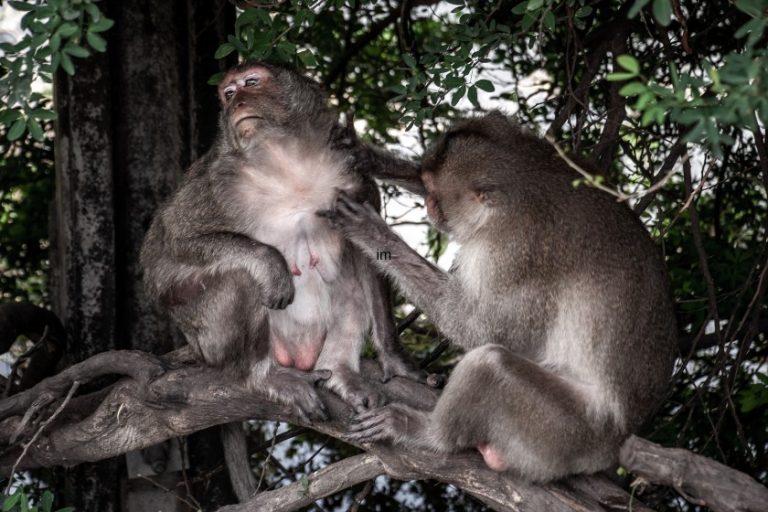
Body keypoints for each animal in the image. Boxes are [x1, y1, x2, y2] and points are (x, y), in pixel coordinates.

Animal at [140, 61, 417, 426]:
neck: (285, 158)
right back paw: (263, 376)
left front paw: (397, 361)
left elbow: (369, 249)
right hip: (208, 341)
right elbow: (171, 243)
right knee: (241, 278)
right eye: (229, 93)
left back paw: (339, 372)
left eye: (251, 82)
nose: (236, 103)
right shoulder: (216, 180)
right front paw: (271, 263)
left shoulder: (350, 168)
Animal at [319, 111, 677, 481]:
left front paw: (375, 234)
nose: (429, 206)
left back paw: (426, 433)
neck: (525, 183)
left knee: (489, 363)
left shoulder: (510, 254)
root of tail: (618, 442)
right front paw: (365, 155)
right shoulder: (570, 163)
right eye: (427, 185)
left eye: (435, 195)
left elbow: (483, 329)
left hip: (567, 434)